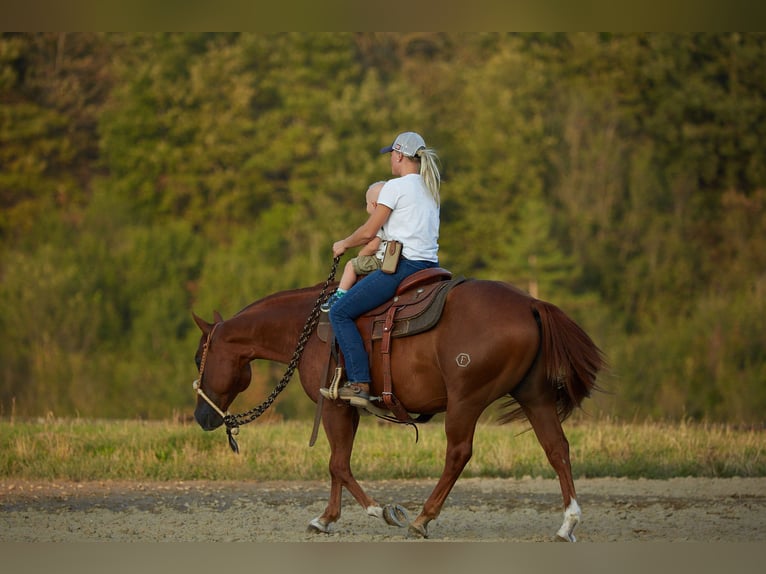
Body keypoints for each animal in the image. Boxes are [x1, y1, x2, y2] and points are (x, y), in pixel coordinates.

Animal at [191, 273, 605, 541]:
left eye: (198, 358)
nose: (201, 416)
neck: (306, 330)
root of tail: (531, 303)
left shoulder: (334, 407)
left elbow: (338, 464)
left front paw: (382, 511)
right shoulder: (347, 409)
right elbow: (338, 462)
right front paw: (327, 519)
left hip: (466, 400)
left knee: (458, 453)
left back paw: (422, 519)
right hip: (534, 396)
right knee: (556, 448)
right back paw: (568, 523)